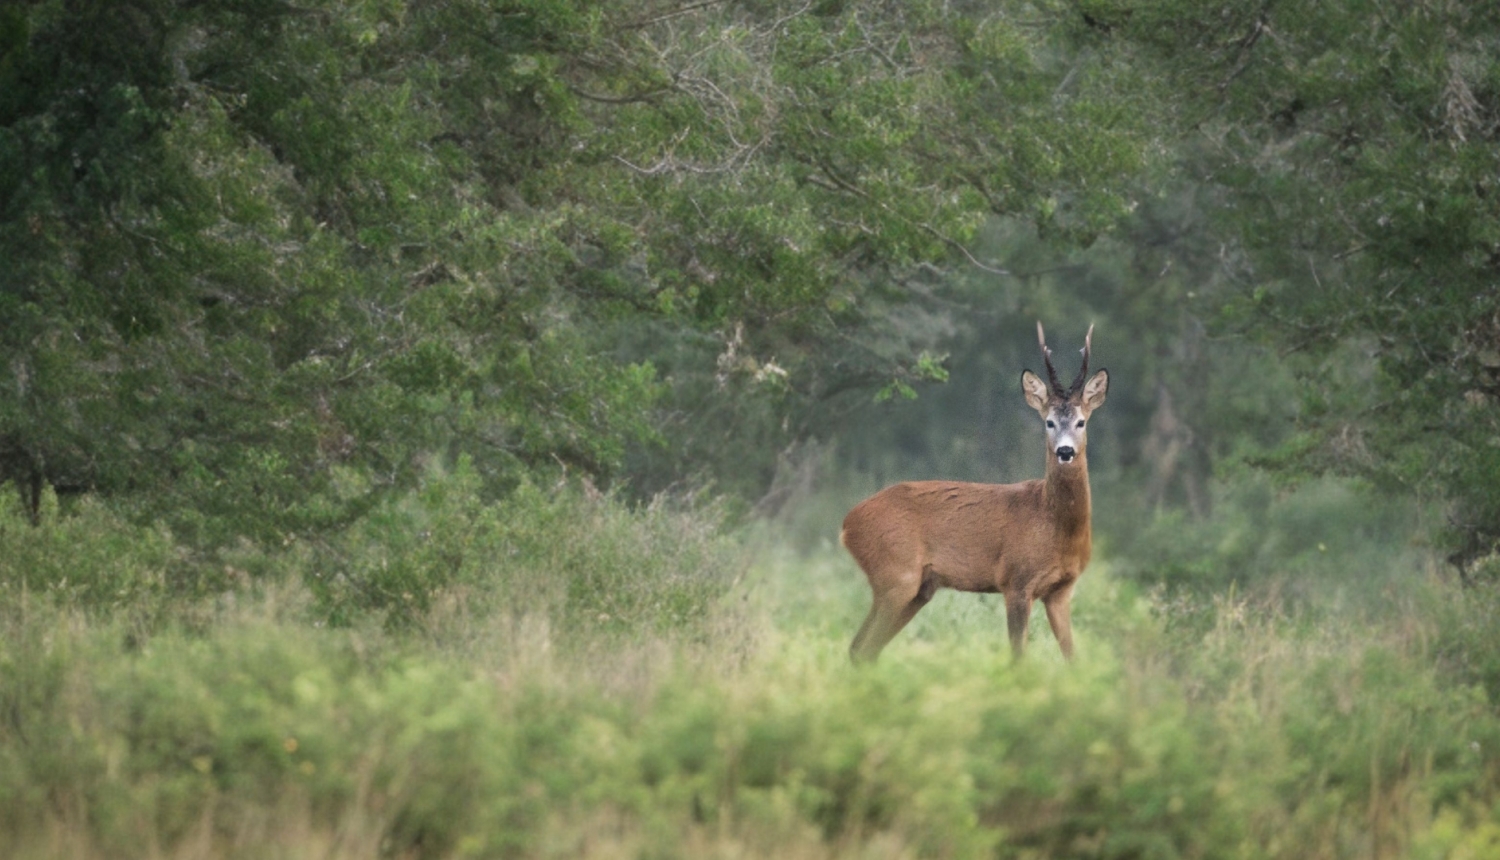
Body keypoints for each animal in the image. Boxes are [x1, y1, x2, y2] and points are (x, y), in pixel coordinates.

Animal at [852, 321, 1110, 663]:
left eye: (1081, 422)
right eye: (1049, 422)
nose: (1065, 451)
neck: (1053, 525)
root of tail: (847, 524)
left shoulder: (1061, 591)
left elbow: (1072, 659)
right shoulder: (1015, 580)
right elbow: (1018, 658)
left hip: (918, 588)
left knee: (861, 648)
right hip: (895, 574)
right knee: (863, 647)